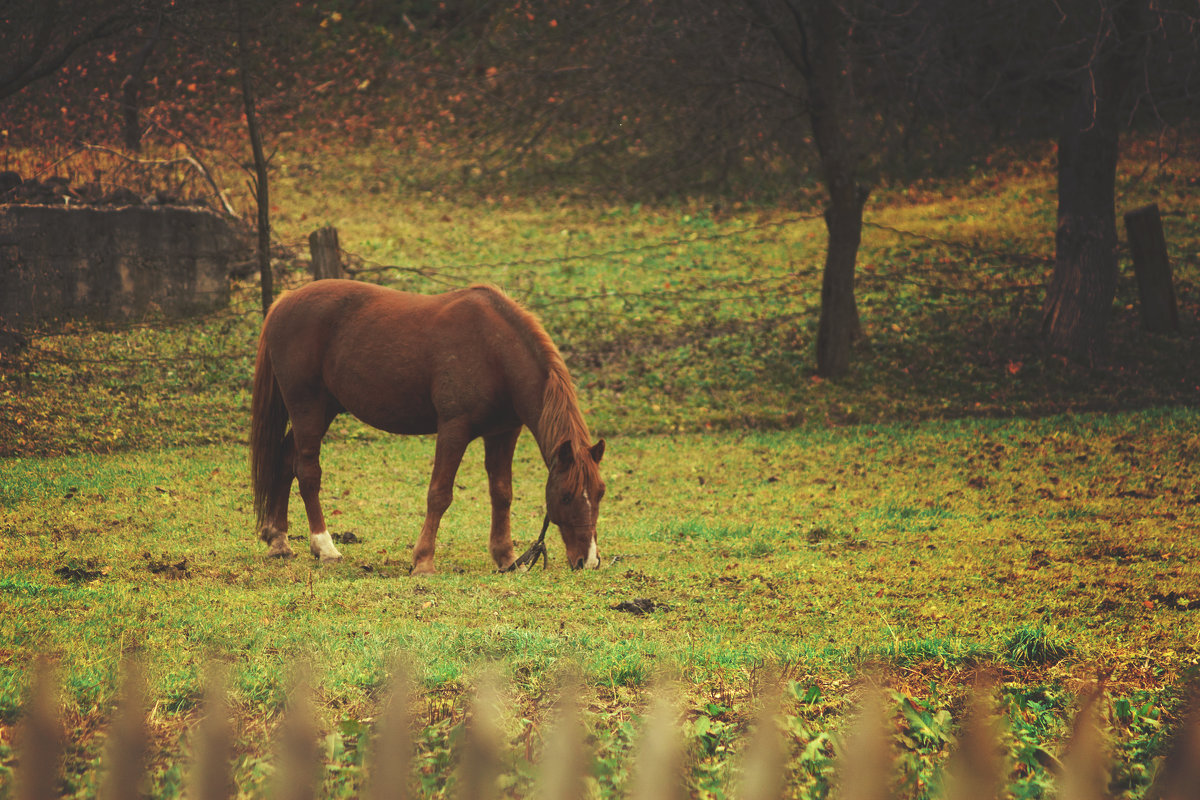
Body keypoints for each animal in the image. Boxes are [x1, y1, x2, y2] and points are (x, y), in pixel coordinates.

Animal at [254, 278, 609, 573]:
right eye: (566, 496)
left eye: (600, 493)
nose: (589, 561)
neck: (494, 351)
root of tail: (284, 301)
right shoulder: (454, 429)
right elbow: (439, 494)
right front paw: (423, 561)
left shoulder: (503, 432)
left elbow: (502, 493)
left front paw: (506, 558)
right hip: (308, 408)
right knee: (307, 473)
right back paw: (325, 548)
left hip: (323, 409)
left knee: (285, 462)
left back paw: (279, 541)